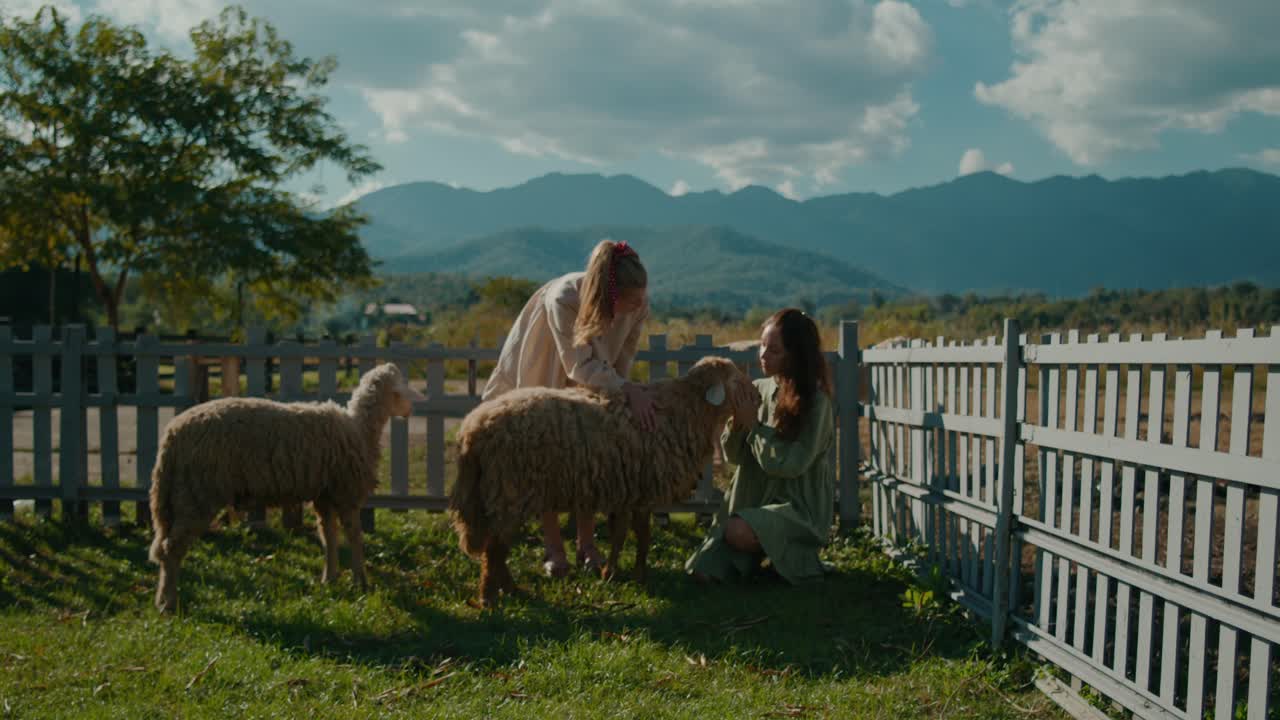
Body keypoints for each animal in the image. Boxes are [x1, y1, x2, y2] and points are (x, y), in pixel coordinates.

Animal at [147, 363, 425, 613]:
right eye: (402, 387)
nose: (415, 406)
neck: (359, 428)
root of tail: (171, 436)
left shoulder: (324, 496)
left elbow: (328, 536)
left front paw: (330, 578)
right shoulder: (345, 492)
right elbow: (354, 536)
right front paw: (361, 583)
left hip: (179, 495)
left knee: (163, 548)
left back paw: (162, 599)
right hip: (197, 493)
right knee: (171, 549)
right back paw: (169, 603)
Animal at [449, 356, 759, 606]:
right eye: (735, 378)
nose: (757, 396)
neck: (684, 409)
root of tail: (471, 429)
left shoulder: (628, 488)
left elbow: (621, 532)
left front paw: (611, 572)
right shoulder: (645, 488)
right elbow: (642, 534)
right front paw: (637, 574)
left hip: (498, 491)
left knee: (495, 546)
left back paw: (510, 589)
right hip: (509, 489)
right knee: (494, 548)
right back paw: (490, 596)